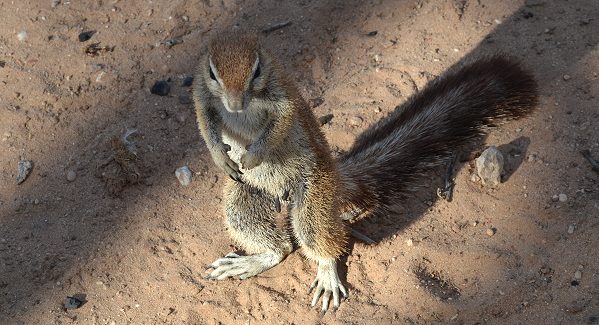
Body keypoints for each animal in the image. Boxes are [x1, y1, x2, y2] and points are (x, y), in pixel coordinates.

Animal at [192, 31, 540, 310]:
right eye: (212, 72)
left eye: (257, 70)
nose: (235, 105)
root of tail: (335, 176)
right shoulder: (202, 96)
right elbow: (205, 122)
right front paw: (219, 154)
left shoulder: (283, 99)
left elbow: (278, 125)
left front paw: (254, 155)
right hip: (244, 195)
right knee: (279, 245)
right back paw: (253, 260)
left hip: (313, 195)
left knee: (314, 236)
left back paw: (327, 275)